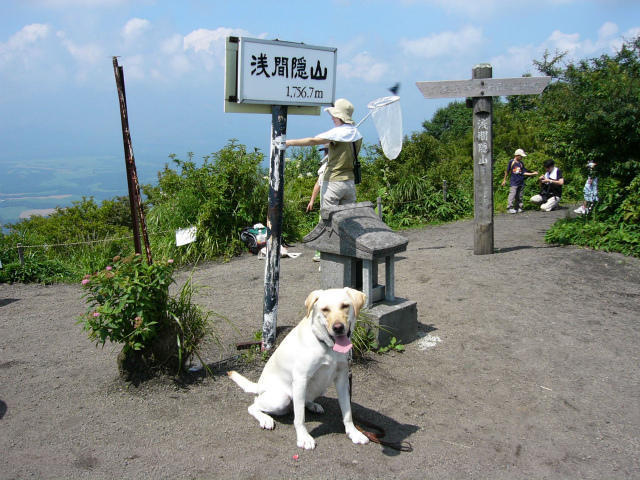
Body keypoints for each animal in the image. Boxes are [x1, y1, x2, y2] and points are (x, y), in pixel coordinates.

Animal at [229, 288, 370, 450]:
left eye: (345, 306)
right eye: (325, 309)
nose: (338, 327)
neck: (328, 347)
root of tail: (259, 386)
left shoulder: (342, 378)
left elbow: (347, 411)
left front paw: (353, 432)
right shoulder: (301, 379)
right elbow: (300, 417)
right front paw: (303, 437)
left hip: (320, 387)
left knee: (303, 400)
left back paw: (312, 405)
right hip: (281, 398)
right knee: (254, 405)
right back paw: (265, 419)